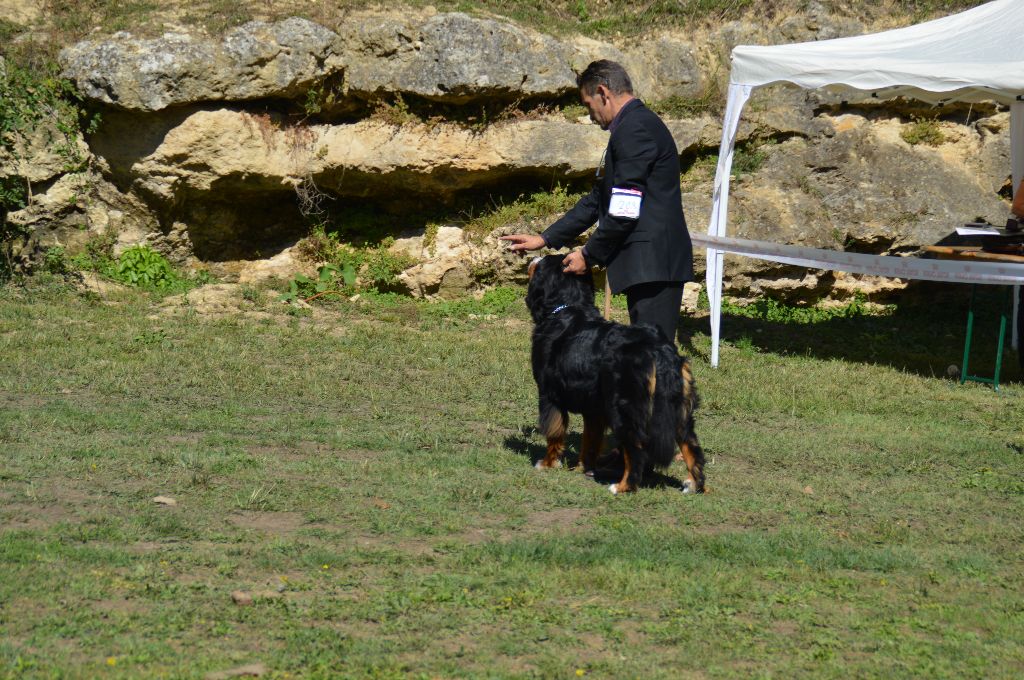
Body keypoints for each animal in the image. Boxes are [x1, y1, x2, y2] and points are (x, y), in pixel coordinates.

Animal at [528, 255, 704, 493]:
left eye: (543, 261)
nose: (533, 257)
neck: (565, 309)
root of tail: (658, 349)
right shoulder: (593, 407)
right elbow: (590, 440)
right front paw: (583, 467)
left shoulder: (549, 394)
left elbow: (554, 433)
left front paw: (547, 464)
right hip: (680, 408)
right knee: (691, 445)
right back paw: (694, 484)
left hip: (624, 408)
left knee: (636, 449)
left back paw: (621, 486)